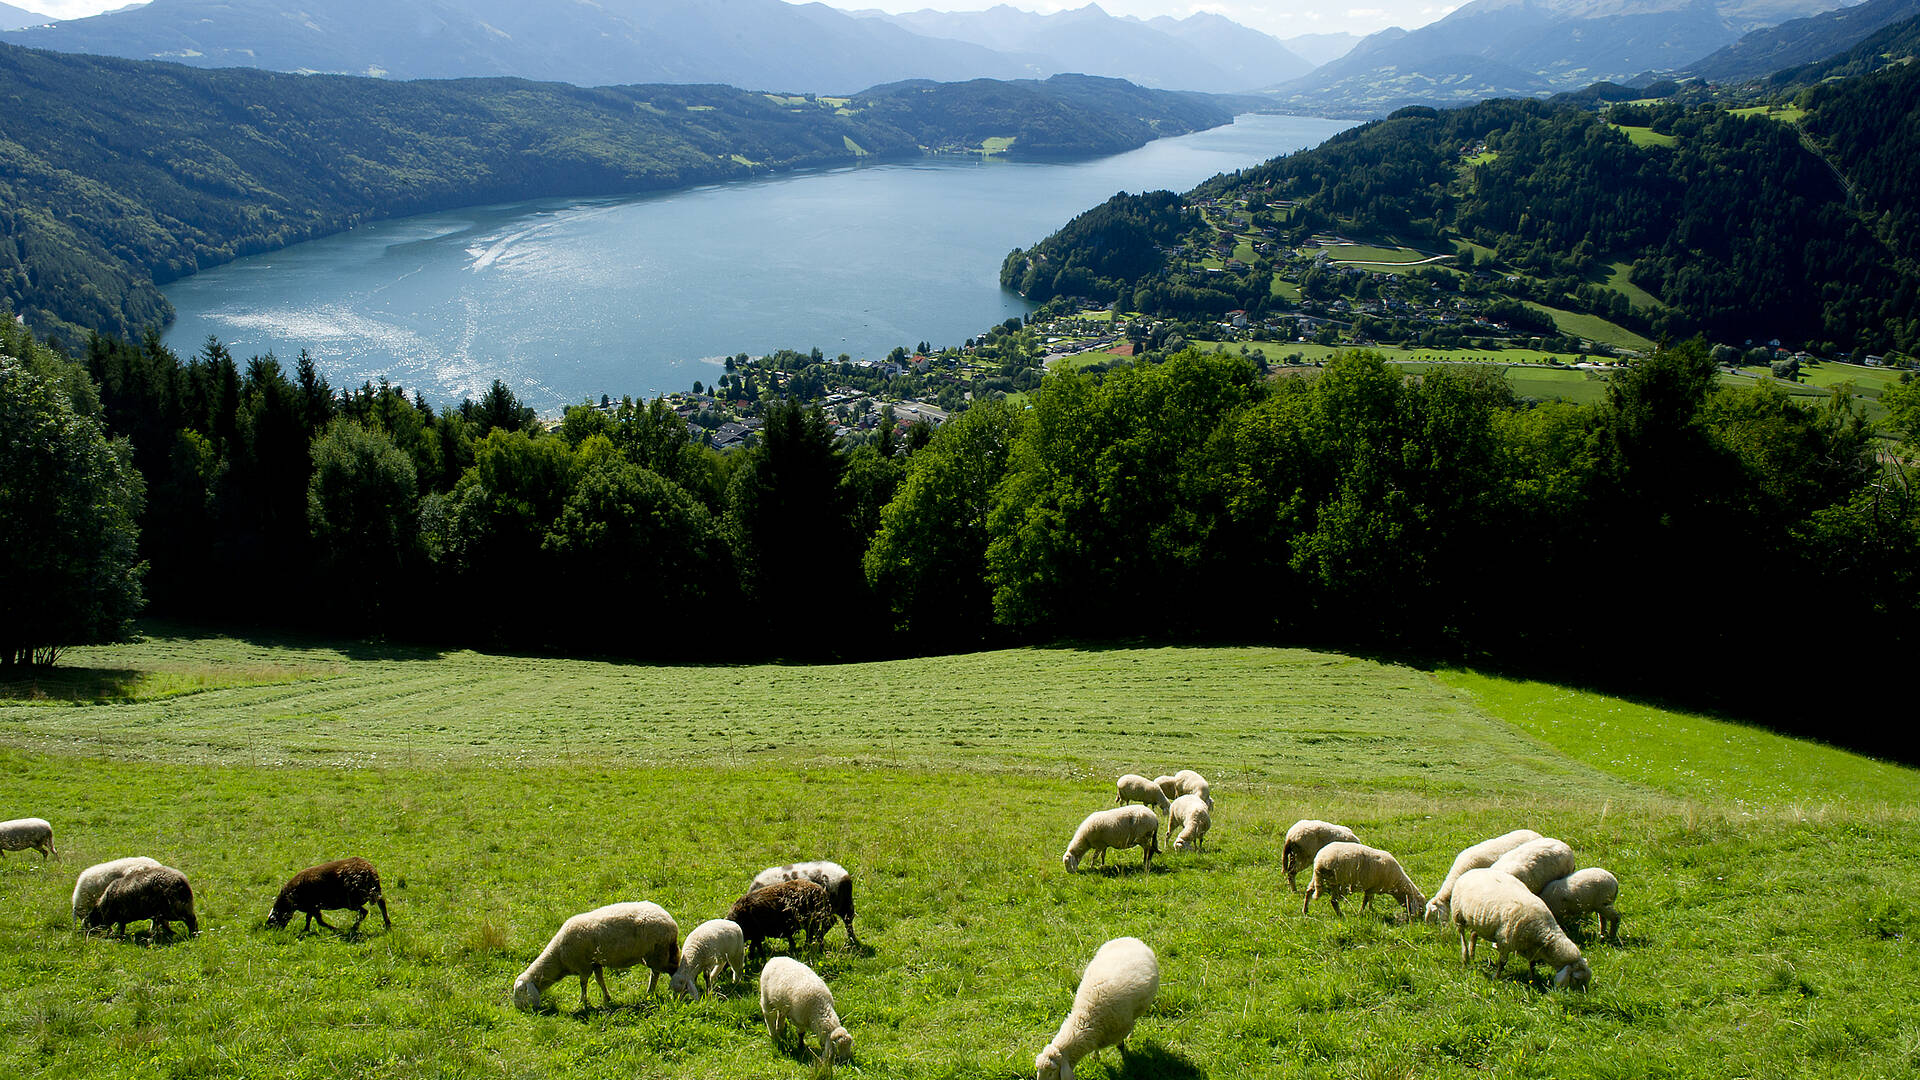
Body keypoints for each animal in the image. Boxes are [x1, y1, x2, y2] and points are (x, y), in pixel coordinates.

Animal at [510, 899, 683, 1006]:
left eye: (520, 991)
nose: (518, 1009)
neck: (558, 956)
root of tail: (671, 922)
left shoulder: (583, 966)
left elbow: (583, 984)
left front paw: (582, 1002)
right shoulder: (595, 963)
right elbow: (600, 980)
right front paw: (607, 998)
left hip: (658, 953)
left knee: (661, 971)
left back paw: (657, 991)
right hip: (657, 953)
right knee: (658, 971)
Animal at [1036, 933, 1152, 1076]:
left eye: (1051, 1072)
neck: (1087, 1014)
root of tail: (1129, 938)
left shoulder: (1119, 1028)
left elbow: (1121, 1046)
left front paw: (1126, 1059)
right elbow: (1096, 1048)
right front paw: (1096, 1057)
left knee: (1135, 1020)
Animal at [1451, 860, 1589, 991]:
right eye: (1577, 979)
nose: (1581, 996)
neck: (1542, 930)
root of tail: (1472, 871)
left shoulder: (1531, 949)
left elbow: (1532, 964)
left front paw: (1532, 978)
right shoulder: (1505, 941)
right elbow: (1502, 963)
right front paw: (1496, 977)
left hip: (1479, 920)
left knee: (1474, 934)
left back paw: (1472, 954)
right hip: (1458, 914)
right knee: (1462, 934)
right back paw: (1465, 957)